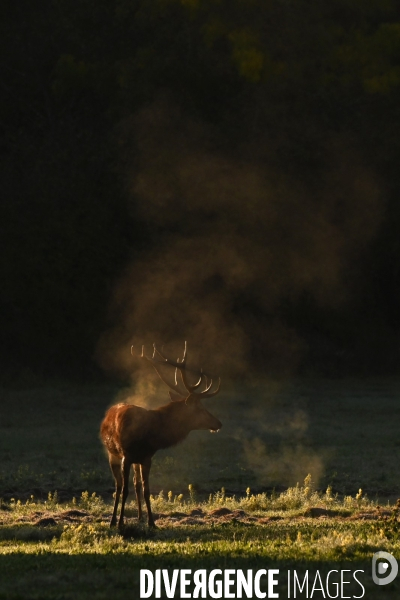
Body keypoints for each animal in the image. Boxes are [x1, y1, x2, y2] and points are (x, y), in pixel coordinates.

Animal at [99, 342, 222, 528]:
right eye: (200, 408)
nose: (218, 423)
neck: (150, 434)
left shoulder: (147, 457)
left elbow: (146, 489)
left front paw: (151, 522)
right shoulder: (127, 455)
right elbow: (125, 490)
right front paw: (120, 523)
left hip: (135, 460)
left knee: (135, 484)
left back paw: (140, 517)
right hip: (113, 454)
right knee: (119, 486)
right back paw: (113, 521)